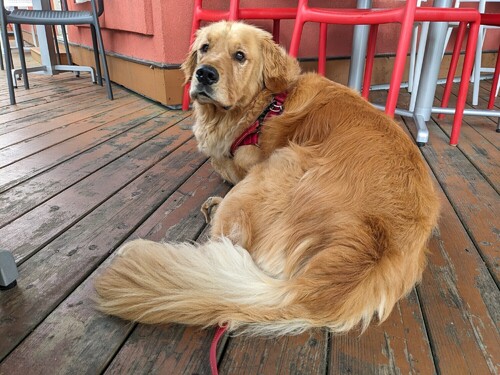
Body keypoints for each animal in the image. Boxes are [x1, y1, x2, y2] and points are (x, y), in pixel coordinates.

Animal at [94, 22, 438, 336]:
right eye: (205, 48)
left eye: (240, 56)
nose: (204, 74)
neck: (264, 106)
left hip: (274, 170)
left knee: (225, 243)